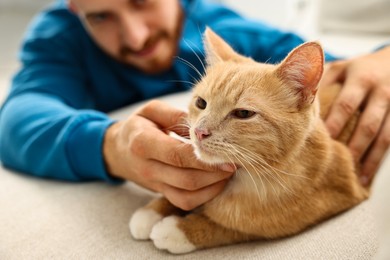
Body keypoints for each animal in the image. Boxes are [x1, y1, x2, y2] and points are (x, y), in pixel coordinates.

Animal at [129, 29, 370, 254]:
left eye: (243, 113)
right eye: (201, 103)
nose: (199, 132)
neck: (245, 176)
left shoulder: (334, 199)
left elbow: (236, 228)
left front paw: (180, 230)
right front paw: (153, 211)